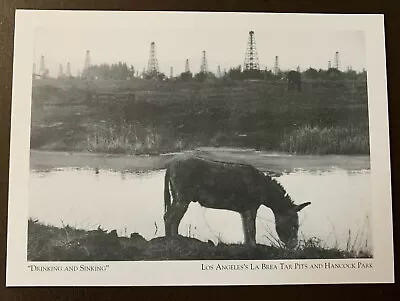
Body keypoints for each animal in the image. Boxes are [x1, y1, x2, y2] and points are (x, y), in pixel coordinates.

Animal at [162, 156, 310, 247]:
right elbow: (252, 230)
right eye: (294, 225)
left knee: (171, 218)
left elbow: (246, 230)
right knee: (170, 218)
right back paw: (173, 240)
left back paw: (173, 238)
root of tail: (170, 165)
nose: (294, 246)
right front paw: (254, 247)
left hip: (179, 198)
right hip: (182, 199)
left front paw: (248, 246)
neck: (263, 188)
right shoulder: (252, 208)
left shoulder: (244, 211)